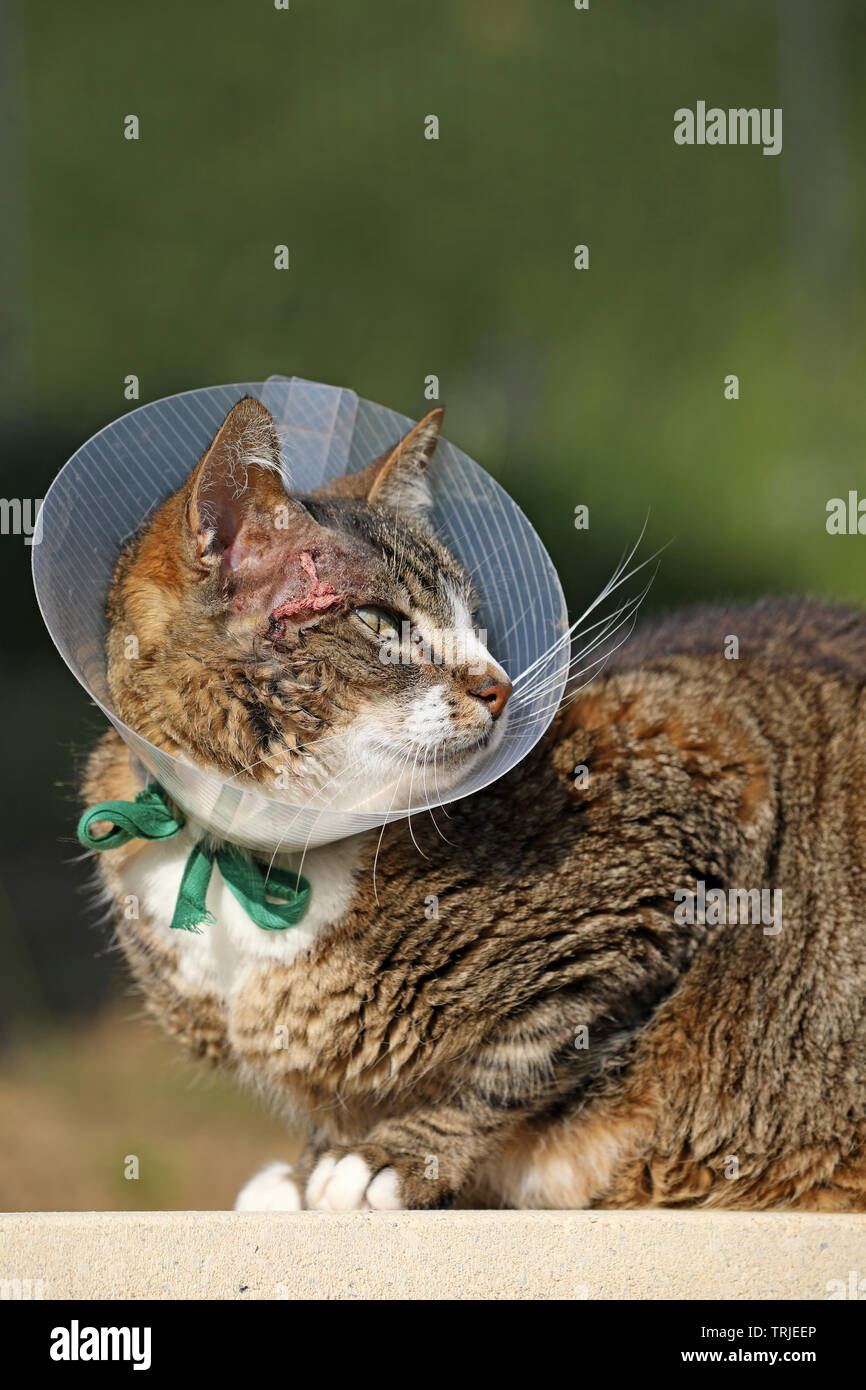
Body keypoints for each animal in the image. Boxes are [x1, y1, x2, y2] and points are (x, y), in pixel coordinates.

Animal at [84, 391, 866, 1206]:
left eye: (475, 623)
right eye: (381, 622)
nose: (502, 686)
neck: (253, 853)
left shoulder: (699, 784)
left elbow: (516, 1057)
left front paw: (384, 1159)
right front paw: (305, 1172)